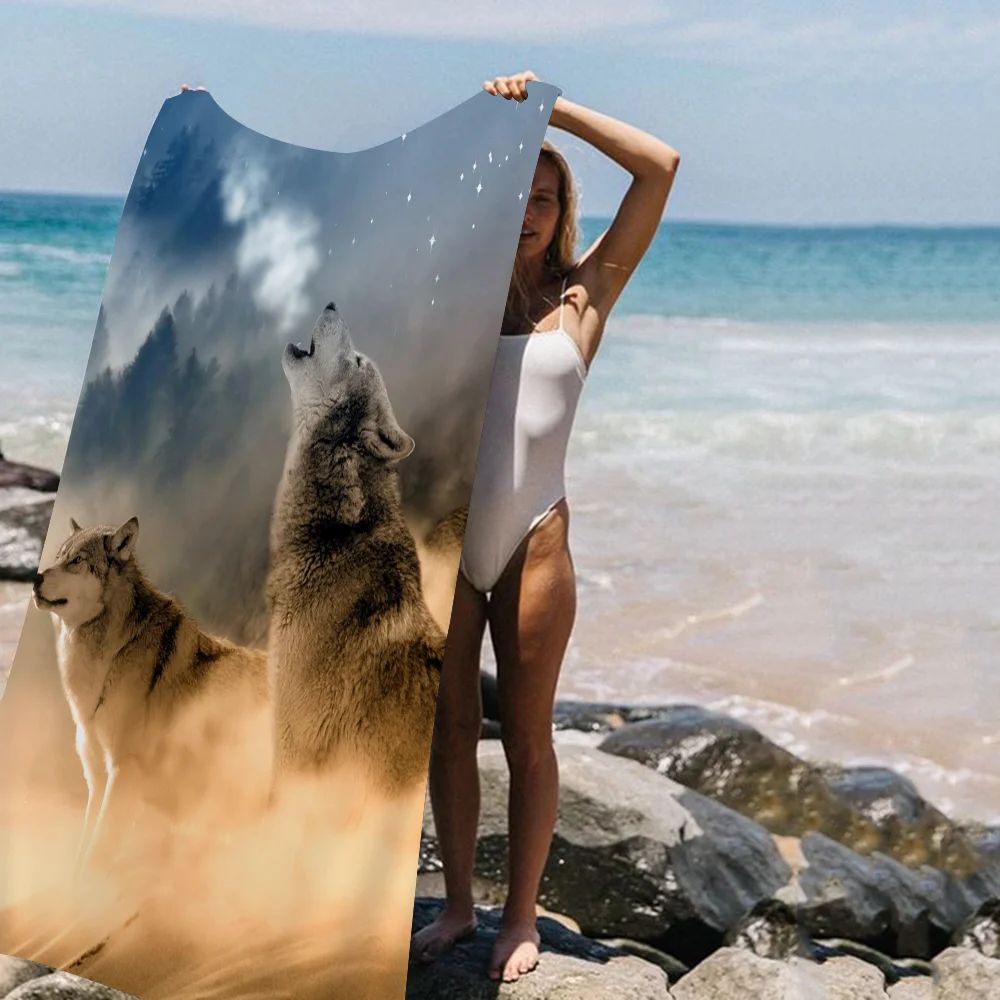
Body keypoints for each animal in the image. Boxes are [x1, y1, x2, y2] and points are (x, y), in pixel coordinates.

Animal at [33, 517, 271, 865]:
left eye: (76, 561)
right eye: (59, 556)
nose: (35, 579)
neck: (112, 653)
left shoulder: (122, 773)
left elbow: (94, 855)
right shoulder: (97, 781)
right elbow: (82, 855)